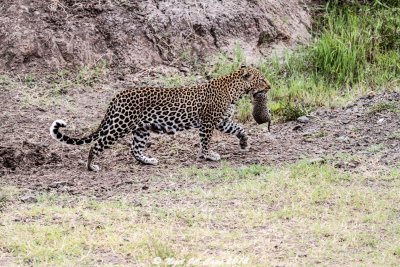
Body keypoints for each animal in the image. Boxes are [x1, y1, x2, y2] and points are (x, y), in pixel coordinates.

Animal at [49, 66, 268, 173]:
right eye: (262, 79)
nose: (270, 86)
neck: (235, 91)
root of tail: (118, 95)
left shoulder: (221, 121)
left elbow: (240, 128)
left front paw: (244, 143)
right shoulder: (208, 122)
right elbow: (205, 141)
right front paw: (209, 155)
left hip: (142, 129)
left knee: (135, 149)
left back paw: (148, 161)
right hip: (121, 125)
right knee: (97, 144)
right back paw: (91, 166)